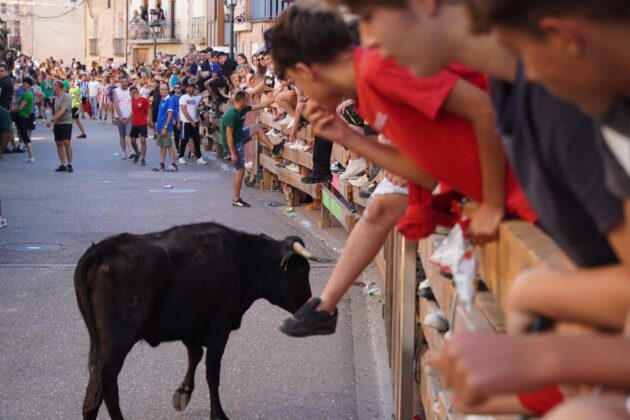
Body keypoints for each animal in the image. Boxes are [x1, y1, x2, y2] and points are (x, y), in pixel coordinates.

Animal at [75, 221, 320, 418]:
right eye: (301, 271)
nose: (309, 305)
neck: (242, 258)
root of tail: (103, 249)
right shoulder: (219, 326)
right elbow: (212, 371)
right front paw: (218, 414)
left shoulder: (191, 325)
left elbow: (195, 355)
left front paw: (183, 392)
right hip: (116, 345)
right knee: (99, 393)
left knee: (104, 389)